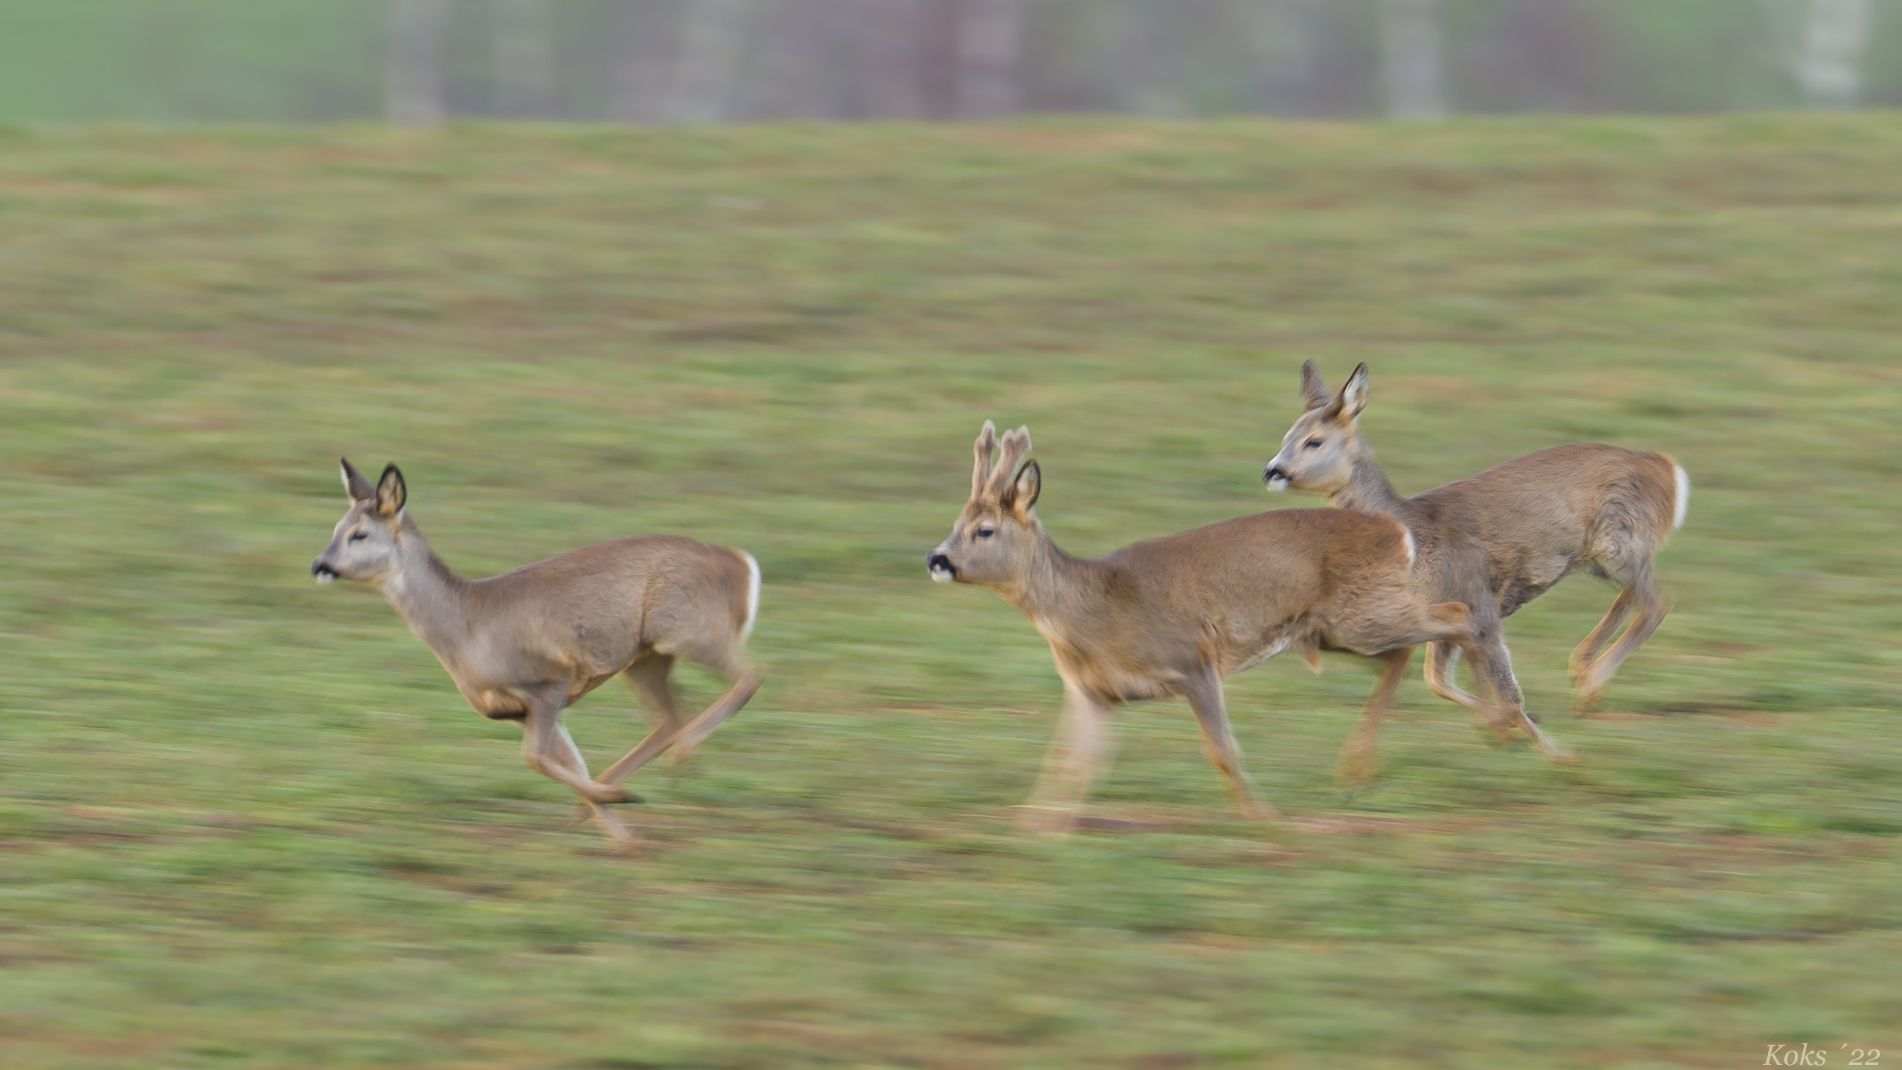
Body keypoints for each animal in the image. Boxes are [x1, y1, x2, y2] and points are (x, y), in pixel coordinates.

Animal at [310, 459, 756, 847]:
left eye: (360, 534)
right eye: (335, 528)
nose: (319, 565)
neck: (467, 628)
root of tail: (741, 564)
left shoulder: (549, 679)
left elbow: (534, 758)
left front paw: (617, 804)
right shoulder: (521, 709)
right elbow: (568, 762)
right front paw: (623, 834)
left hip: (688, 631)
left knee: (749, 676)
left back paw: (678, 759)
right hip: (645, 659)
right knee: (671, 716)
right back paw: (638, 783)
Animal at [924, 423, 1559, 832]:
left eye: (984, 530)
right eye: (955, 522)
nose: (937, 558)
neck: (1093, 609)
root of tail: (1393, 528)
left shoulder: (1191, 660)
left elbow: (1223, 751)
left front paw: (1264, 819)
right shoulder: (1093, 694)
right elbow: (1072, 761)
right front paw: (1037, 826)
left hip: (1365, 614)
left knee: (1457, 619)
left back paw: (1508, 727)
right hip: (1338, 628)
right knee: (1408, 652)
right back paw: (1363, 767)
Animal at [1270, 363, 1688, 729]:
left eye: (1314, 441)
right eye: (1285, 437)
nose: (1272, 471)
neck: (1415, 535)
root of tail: (1668, 469)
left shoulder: (1477, 598)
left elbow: (1492, 683)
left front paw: (1518, 726)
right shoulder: (1446, 610)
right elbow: (1437, 679)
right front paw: (1500, 724)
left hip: (1618, 544)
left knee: (1658, 601)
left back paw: (1589, 685)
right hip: (1601, 559)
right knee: (1636, 598)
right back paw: (1582, 676)